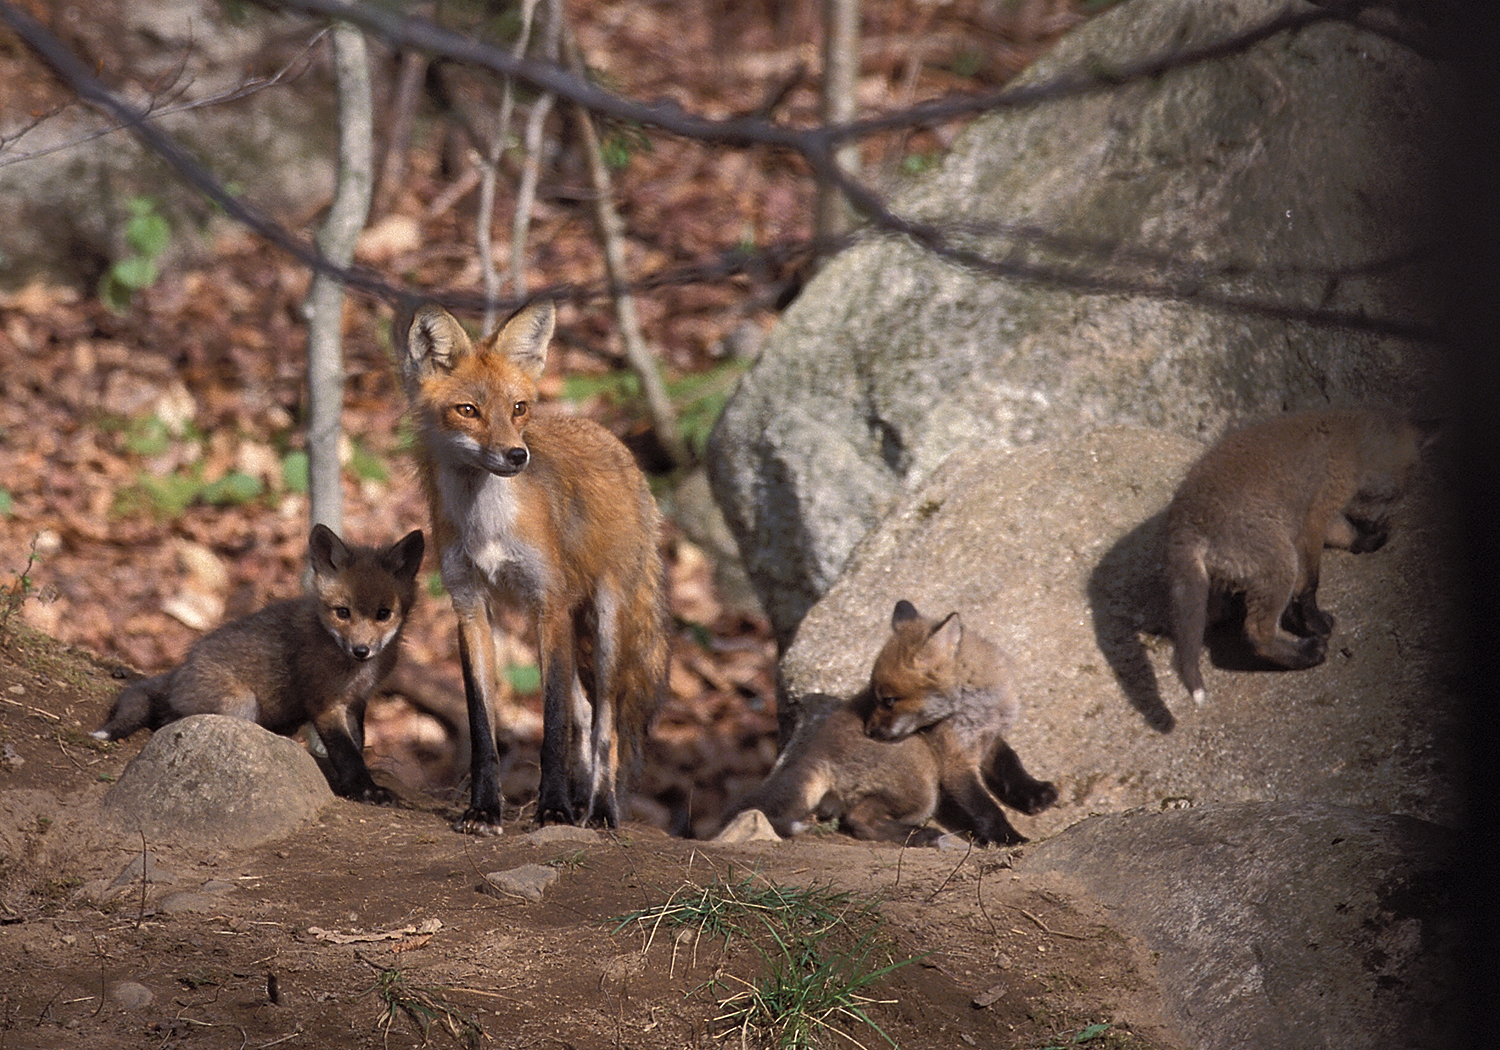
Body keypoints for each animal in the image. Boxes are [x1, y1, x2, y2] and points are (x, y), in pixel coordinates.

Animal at [91, 525, 426, 804]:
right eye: (343, 612)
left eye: (384, 614)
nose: (361, 650)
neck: (355, 671)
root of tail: (180, 669)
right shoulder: (325, 703)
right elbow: (346, 752)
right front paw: (366, 790)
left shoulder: (356, 701)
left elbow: (357, 743)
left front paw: (353, 786)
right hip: (240, 704)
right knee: (167, 720)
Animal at [396, 300, 666, 834]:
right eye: (468, 411)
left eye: (518, 408)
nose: (517, 455)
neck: (487, 525)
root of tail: (611, 438)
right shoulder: (470, 607)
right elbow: (484, 727)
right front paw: (483, 808)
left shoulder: (549, 604)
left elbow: (553, 726)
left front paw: (553, 810)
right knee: (585, 714)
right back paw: (583, 802)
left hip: (606, 623)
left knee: (605, 725)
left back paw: (600, 809)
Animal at [723, 600, 1056, 846]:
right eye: (877, 697)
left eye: (889, 700)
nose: (870, 731)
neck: (976, 707)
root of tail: (814, 756)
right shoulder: (954, 762)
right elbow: (986, 808)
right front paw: (1010, 838)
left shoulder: (989, 738)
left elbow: (1010, 767)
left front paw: (1035, 794)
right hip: (922, 785)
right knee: (859, 820)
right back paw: (925, 836)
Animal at [1164, 411, 1434, 705]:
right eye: (1395, 492)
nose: (1383, 518)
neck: (1349, 441)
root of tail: (1184, 524)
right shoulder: (1315, 516)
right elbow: (1310, 582)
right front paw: (1313, 621)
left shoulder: (1324, 513)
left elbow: (1346, 533)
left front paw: (1367, 540)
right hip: (1280, 563)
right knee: (1256, 632)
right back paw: (1306, 654)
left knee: (1212, 616)